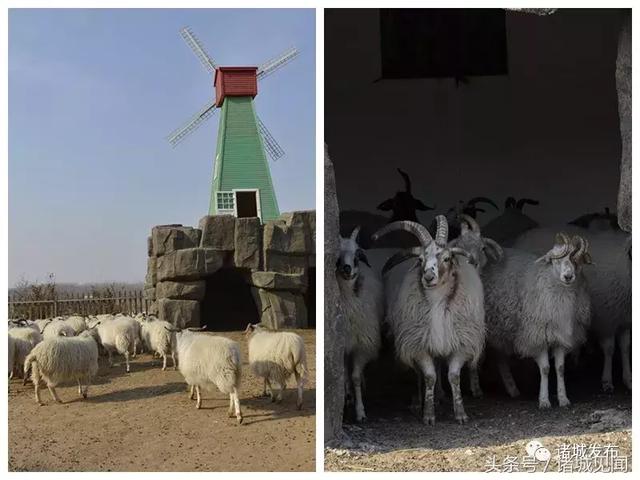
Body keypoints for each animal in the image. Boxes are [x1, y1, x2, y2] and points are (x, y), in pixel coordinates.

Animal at [372, 215, 482, 424]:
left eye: (447, 258)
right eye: (421, 259)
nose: (429, 276)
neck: (437, 301)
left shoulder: (460, 343)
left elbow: (453, 376)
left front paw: (461, 413)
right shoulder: (419, 345)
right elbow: (429, 376)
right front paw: (428, 414)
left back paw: (440, 396)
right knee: (419, 373)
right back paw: (419, 402)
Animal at [484, 234, 592, 406]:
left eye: (578, 260)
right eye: (555, 261)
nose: (568, 276)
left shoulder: (561, 336)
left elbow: (560, 368)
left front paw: (563, 398)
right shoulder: (537, 335)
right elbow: (546, 369)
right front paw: (544, 401)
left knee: (500, 359)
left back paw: (512, 389)